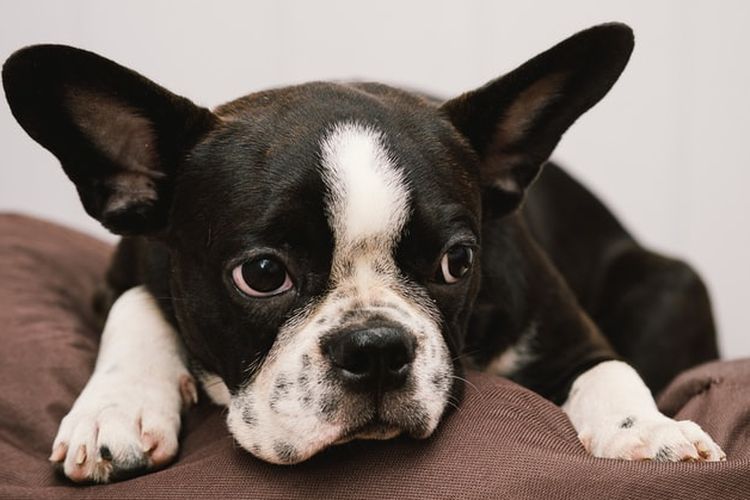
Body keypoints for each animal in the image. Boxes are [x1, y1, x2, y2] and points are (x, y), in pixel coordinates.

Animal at [1, 21, 728, 482]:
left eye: (459, 262)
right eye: (262, 274)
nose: (376, 346)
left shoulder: (571, 336)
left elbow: (609, 372)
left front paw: (648, 432)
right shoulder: (119, 273)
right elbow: (137, 308)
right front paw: (115, 409)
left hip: (671, 283)